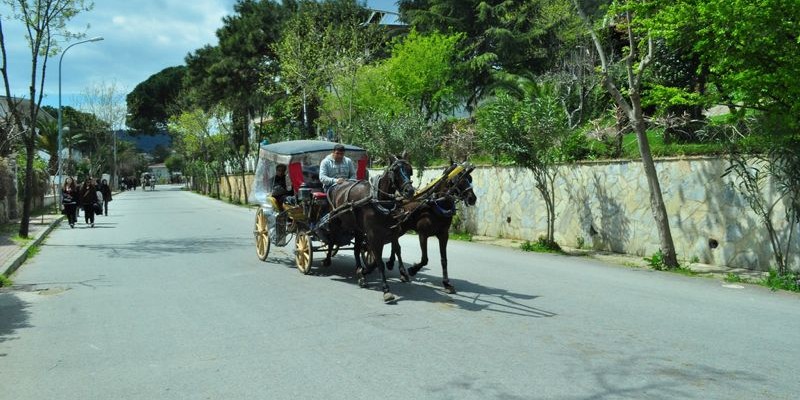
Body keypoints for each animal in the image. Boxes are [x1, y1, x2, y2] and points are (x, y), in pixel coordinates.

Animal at [324, 155, 416, 302]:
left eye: (409, 170)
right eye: (395, 171)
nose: (410, 191)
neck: (379, 200)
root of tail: (337, 185)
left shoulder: (392, 231)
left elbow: (396, 250)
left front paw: (402, 273)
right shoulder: (373, 235)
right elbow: (379, 261)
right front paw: (386, 289)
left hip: (358, 229)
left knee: (356, 249)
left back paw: (360, 274)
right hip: (335, 220)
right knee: (332, 238)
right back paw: (327, 259)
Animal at [388, 162, 476, 294]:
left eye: (470, 179)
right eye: (458, 179)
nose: (472, 198)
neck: (437, 204)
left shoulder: (444, 235)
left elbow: (444, 260)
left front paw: (446, 283)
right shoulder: (423, 234)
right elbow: (425, 259)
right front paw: (413, 269)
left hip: (402, 228)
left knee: (394, 242)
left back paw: (392, 263)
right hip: (400, 228)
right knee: (395, 244)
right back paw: (401, 271)